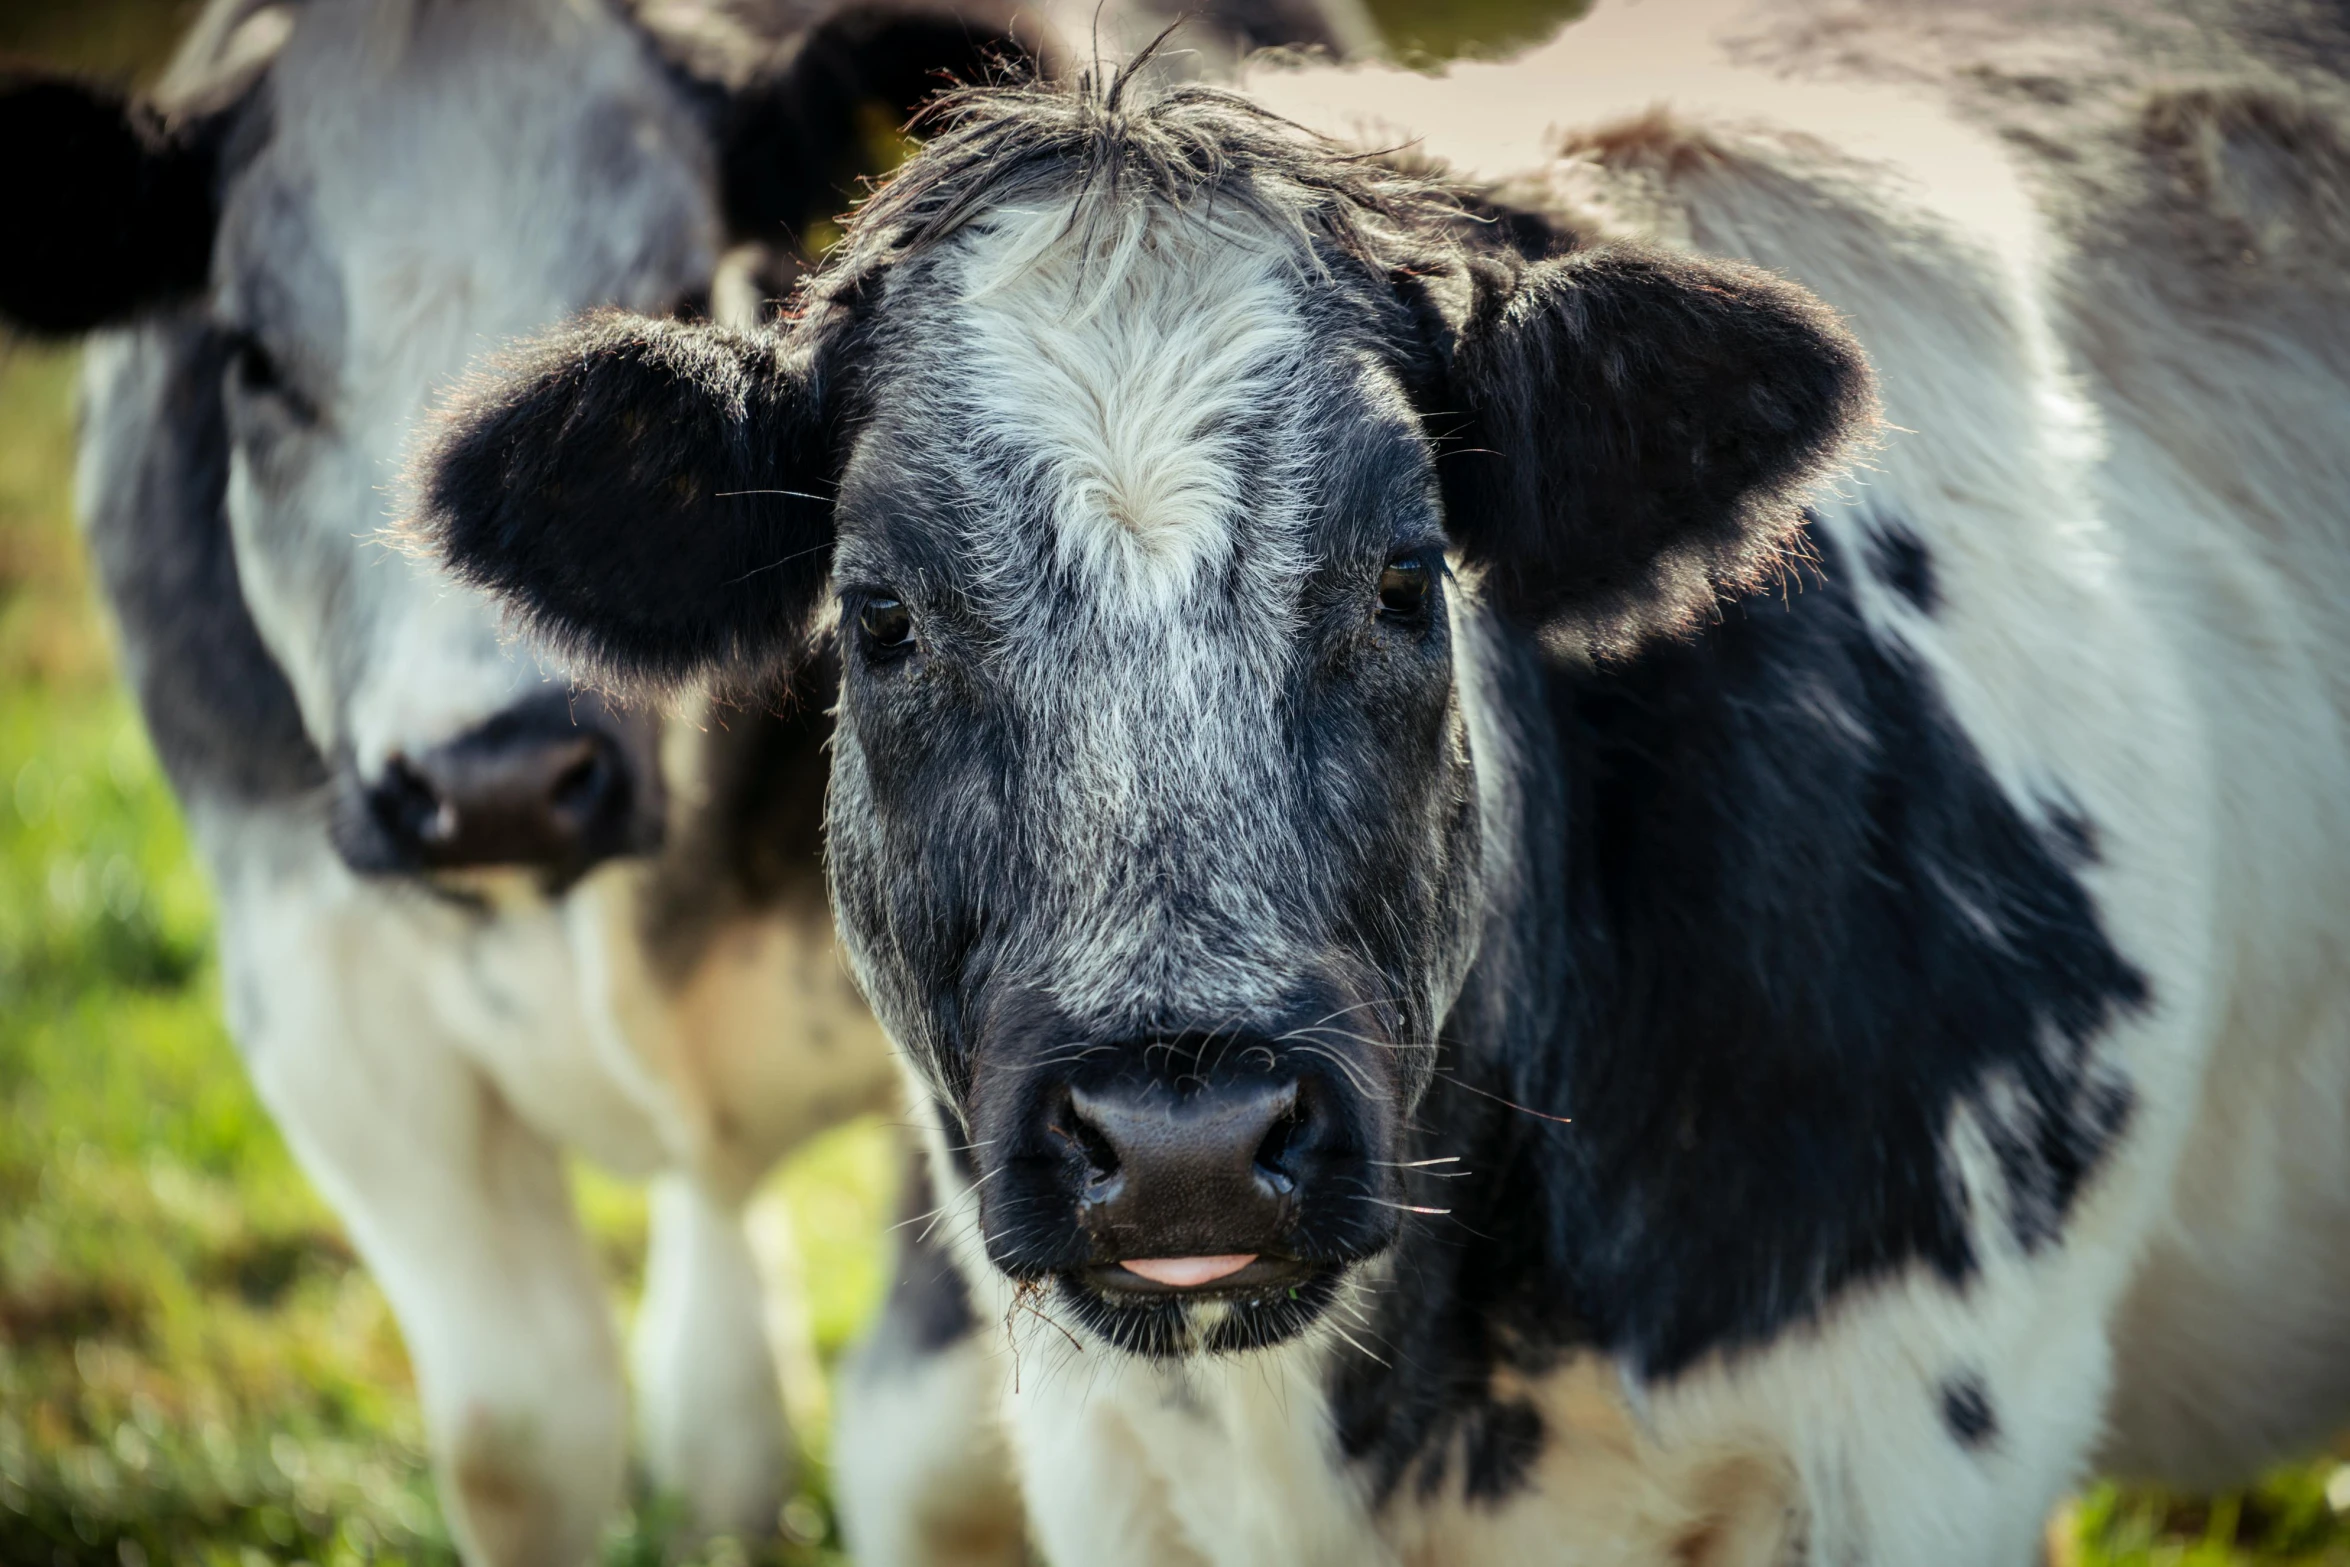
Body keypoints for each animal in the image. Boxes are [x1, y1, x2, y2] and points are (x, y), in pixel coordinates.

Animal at [0, 0, 1381, 1559]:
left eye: (676, 294)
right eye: (247, 357)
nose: (498, 778)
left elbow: (930, 1447)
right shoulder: (329, 1003)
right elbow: (520, 1435)